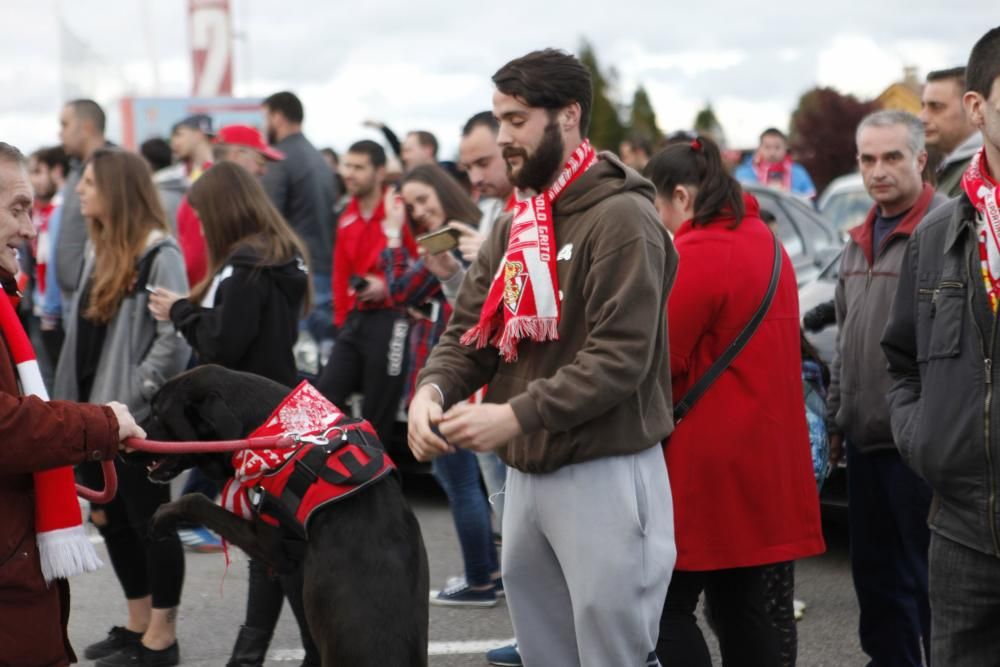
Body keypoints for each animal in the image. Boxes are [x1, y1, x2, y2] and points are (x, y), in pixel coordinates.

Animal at [145, 366, 430, 667]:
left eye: (157, 413)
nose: (129, 444)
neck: (284, 436)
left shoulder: (270, 546)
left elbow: (196, 500)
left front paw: (162, 517)